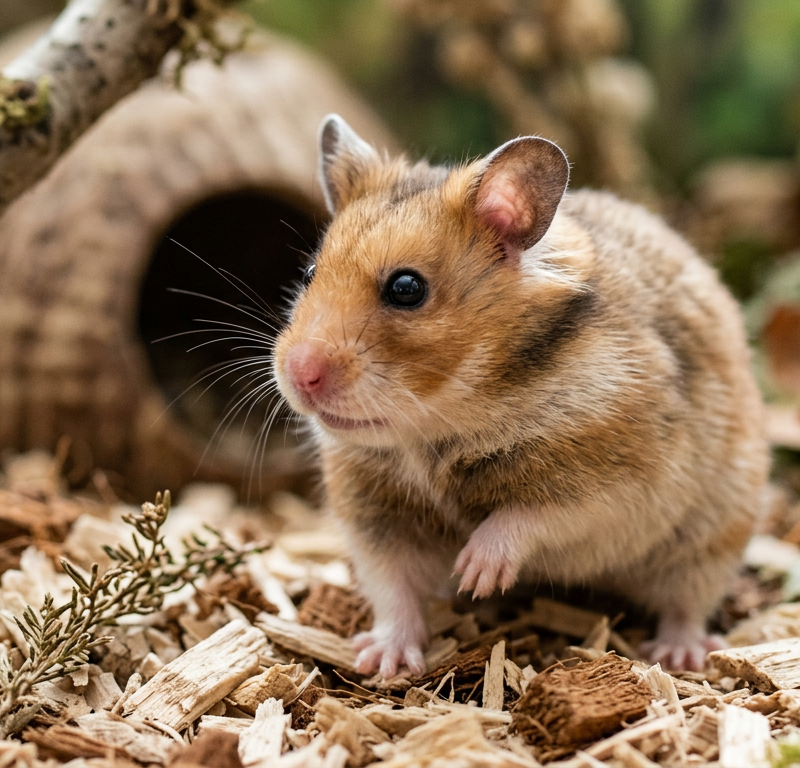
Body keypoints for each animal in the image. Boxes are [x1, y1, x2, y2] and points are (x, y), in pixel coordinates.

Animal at [273, 114, 769, 676]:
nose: (299, 374)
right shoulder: (374, 519)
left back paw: (678, 654)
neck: (441, 426)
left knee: (687, 602)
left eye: (406, 288)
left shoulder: (618, 484)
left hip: (713, 536)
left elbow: (527, 517)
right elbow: (392, 589)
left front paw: (475, 572)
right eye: (310, 274)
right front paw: (382, 661)